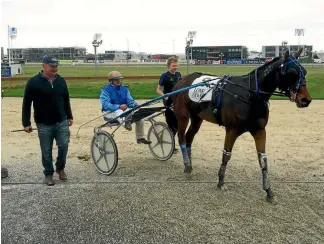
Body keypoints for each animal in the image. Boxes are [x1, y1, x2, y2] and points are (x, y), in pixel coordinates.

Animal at [172, 48, 312, 202]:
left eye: (304, 71)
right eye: (292, 72)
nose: (305, 100)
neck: (250, 94)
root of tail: (181, 81)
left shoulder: (260, 130)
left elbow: (263, 159)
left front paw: (268, 190)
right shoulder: (231, 130)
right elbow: (226, 155)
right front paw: (221, 181)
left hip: (197, 118)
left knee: (189, 138)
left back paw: (189, 165)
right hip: (182, 115)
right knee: (181, 138)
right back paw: (186, 163)